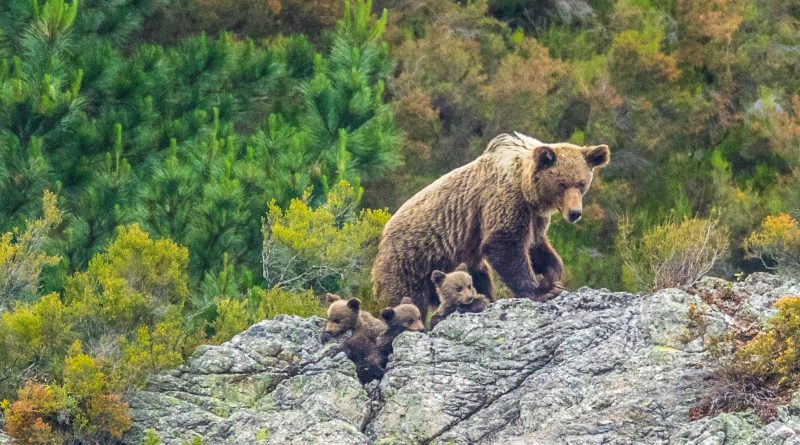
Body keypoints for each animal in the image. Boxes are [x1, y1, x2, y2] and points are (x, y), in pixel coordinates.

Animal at [371, 132, 610, 319]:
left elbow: (535, 245)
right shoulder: (503, 200)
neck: (526, 189)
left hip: (460, 264)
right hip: (412, 261)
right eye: (561, 184)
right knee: (406, 298)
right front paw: (539, 290)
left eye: (581, 183)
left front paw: (552, 276)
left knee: (480, 278)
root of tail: (382, 236)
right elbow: (504, 243)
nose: (575, 213)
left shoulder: (534, 216)